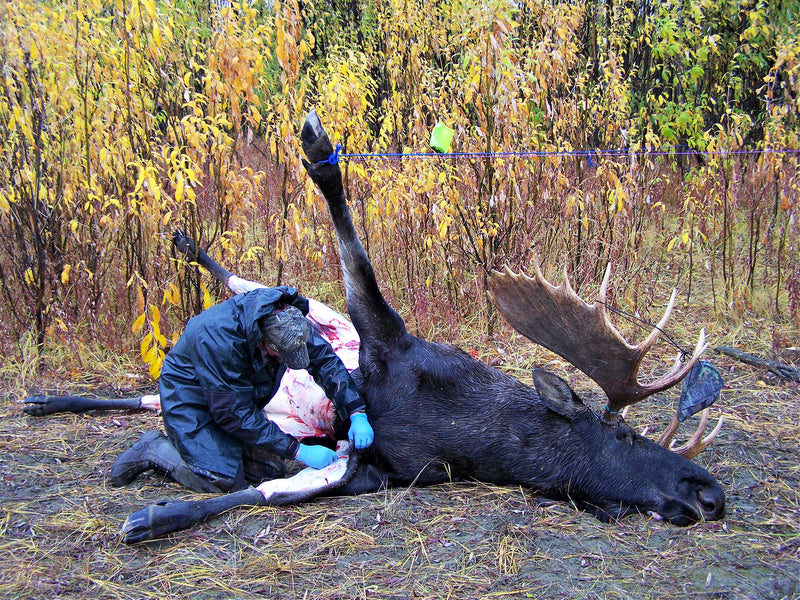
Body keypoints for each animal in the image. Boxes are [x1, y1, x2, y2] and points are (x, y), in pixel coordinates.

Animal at [23, 110, 724, 540]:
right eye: (626, 436)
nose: (709, 493)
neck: (469, 430)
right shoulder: (383, 330)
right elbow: (352, 244)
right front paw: (316, 149)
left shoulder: (375, 470)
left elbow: (261, 493)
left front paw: (155, 513)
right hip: (308, 311)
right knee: (241, 285)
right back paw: (185, 241)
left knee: (149, 402)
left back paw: (61, 409)